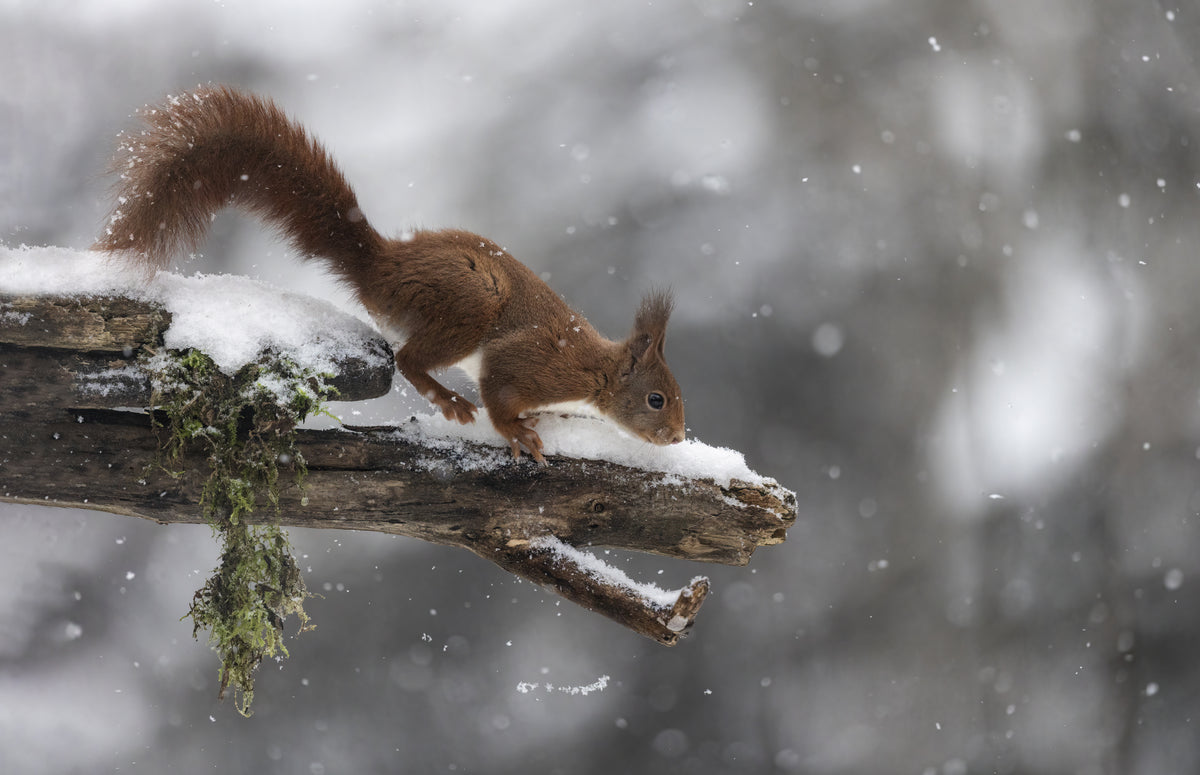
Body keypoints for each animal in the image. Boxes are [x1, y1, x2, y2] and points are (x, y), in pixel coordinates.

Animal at [94, 86, 685, 463]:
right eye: (656, 399)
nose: (679, 437)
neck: (596, 373)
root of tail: (381, 265)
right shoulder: (535, 366)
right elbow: (500, 393)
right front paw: (516, 432)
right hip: (469, 304)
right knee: (408, 360)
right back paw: (448, 401)